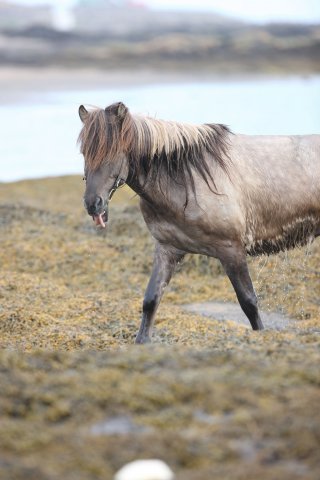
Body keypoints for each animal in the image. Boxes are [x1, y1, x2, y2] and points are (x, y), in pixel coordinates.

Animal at [78, 101, 320, 344]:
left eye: (113, 151)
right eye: (84, 152)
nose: (93, 204)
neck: (188, 179)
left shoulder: (232, 250)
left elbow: (249, 303)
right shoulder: (167, 249)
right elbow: (151, 300)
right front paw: (142, 341)